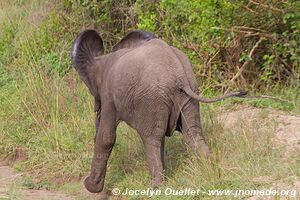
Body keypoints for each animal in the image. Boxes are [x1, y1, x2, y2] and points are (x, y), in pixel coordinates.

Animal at [70, 28, 246, 193]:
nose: (96, 109)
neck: (102, 59)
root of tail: (179, 76)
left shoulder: (109, 96)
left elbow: (106, 137)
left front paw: (89, 186)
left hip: (151, 98)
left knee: (151, 139)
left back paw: (155, 187)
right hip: (186, 95)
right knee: (191, 134)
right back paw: (210, 170)